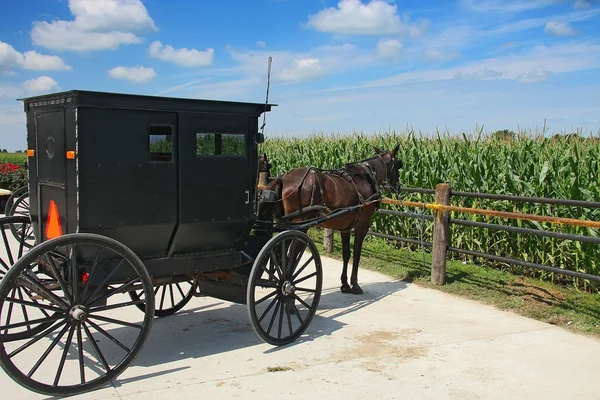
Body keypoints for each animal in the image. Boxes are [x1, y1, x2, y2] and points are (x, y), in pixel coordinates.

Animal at [258, 145, 404, 296]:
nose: (398, 186)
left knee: (279, 253)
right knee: (290, 255)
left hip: (285, 222)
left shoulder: (346, 228)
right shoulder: (363, 225)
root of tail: (284, 176)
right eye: (399, 164)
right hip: (300, 224)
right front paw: (355, 285)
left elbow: (346, 254)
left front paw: (345, 284)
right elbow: (357, 254)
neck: (366, 178)